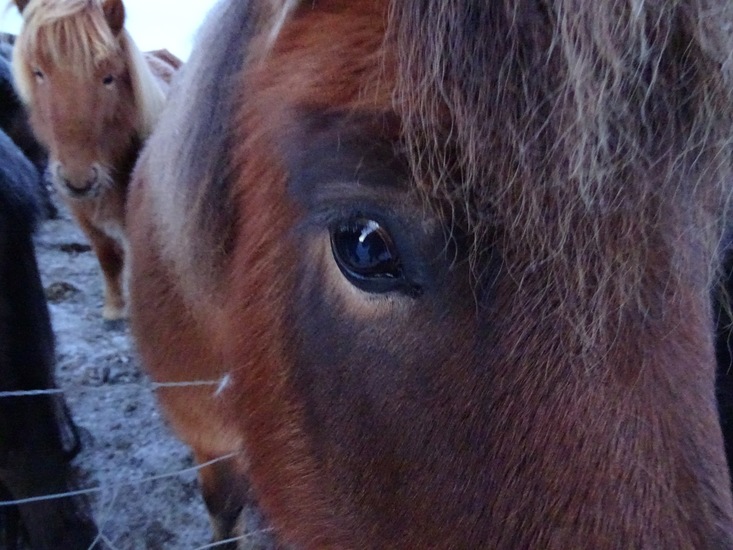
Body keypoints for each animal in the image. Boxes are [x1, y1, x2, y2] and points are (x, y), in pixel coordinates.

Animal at [11, 0, 181, 321]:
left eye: (108, 78)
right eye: (39, 73)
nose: (79, 180)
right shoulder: (83, 214)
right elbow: (107, 255)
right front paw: (114, 308)